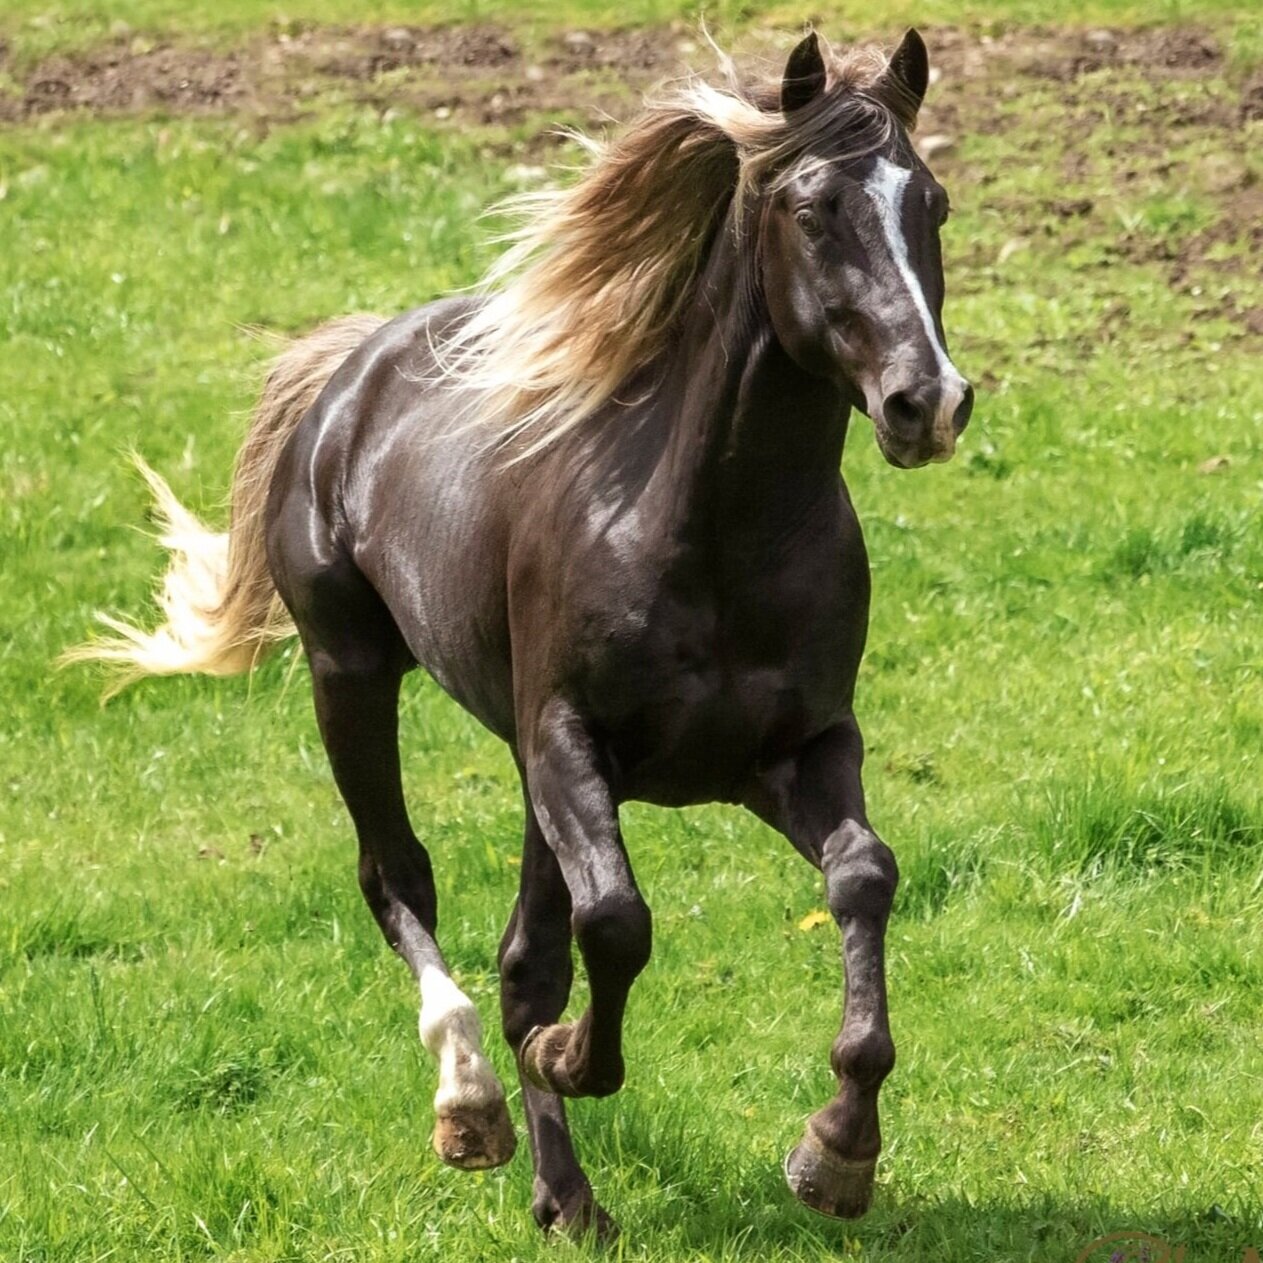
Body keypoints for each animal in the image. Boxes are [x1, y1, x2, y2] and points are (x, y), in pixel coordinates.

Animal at [69, 24, 969, 1237]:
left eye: (933, 204)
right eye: (814, 206)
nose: (929, 403)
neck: (711, 531)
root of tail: (352, 366)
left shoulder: (797, 750)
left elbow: (862, 876)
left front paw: (835, 1153)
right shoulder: (569, 740)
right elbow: (619, 925)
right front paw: (567, 1059)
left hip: (528, 769)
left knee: (524, 951)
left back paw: (565, 1194)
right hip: (353, 674)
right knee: (400, 880)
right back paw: (474, 1109)